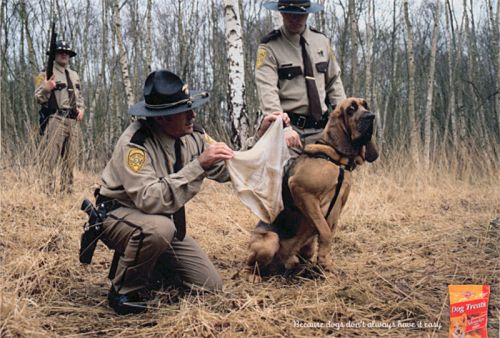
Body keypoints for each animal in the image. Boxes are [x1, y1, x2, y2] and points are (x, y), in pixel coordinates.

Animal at [246, 97, 378, 274]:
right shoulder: (302, 191)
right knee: (250, 266)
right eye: (351, 109)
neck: (337, 162)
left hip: (305, 249)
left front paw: (324, 264)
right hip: (270, 241)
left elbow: (329, 232)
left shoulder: (337, 207)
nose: (371, 116)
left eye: (366, 105)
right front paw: (323, 263)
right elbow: (325, 232)